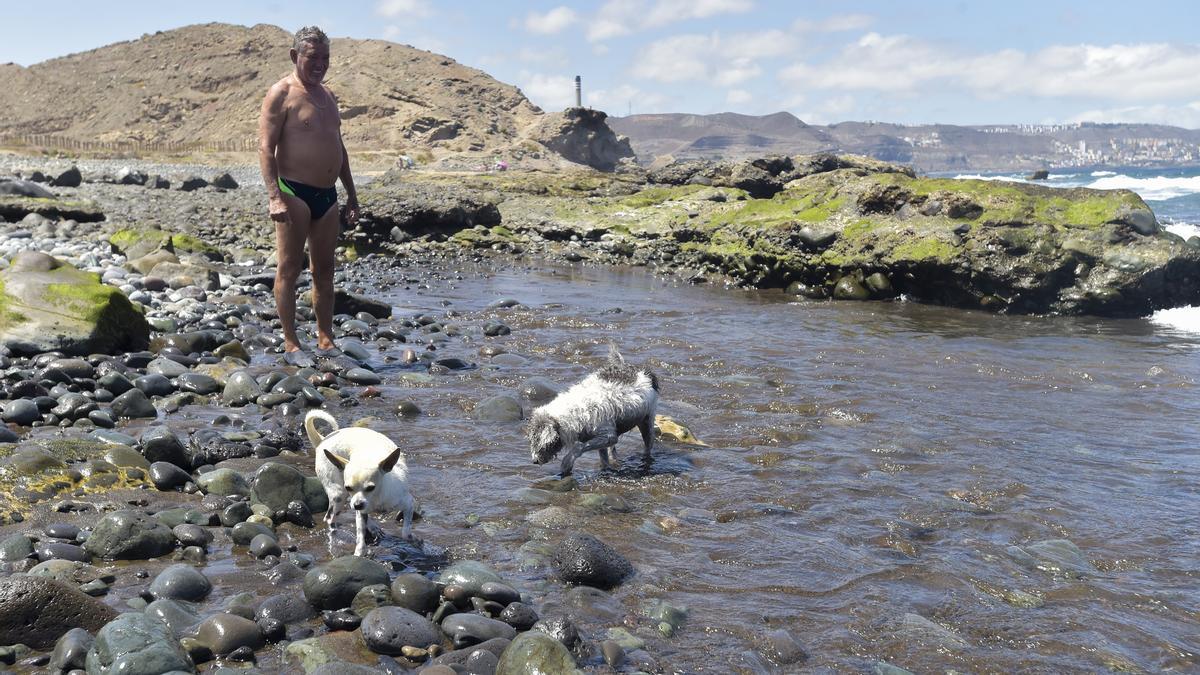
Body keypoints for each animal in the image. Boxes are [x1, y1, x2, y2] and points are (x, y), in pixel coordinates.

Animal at [302, 408, 415, 554]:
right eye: (349, 487)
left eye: (371, 488)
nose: (357, 505)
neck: (376, 499)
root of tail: (322, 440)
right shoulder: (359, 509)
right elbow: (360, 535)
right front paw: (359, 553)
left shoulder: (408, 503)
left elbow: (406, 531)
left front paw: (412, 539)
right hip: (339, 495)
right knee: (330, 518)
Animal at [528, 343, 662, 475]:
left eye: (542, 443)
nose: (534, 461)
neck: (575, 412)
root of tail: (643, 372)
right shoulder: (604, 439)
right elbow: (604, 458)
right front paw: (605, 469)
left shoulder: (607, 436)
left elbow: (579, 447)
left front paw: (566, 463)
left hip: (647, 422)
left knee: (648, 445)